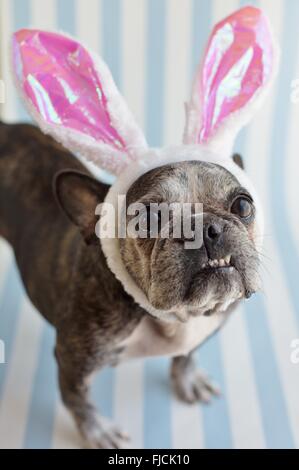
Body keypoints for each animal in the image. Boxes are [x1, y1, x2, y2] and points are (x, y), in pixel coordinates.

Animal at [0, 119, 260, 446]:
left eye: (243, 206)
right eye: (149, 218)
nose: (205, 227)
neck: (173, 317)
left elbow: (187, 354)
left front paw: (187, 378)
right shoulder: (73, 362)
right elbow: (77, 400)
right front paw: (98, 431)